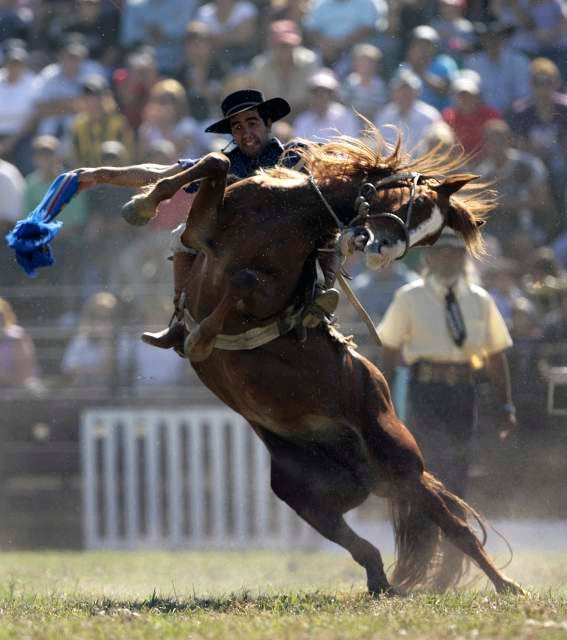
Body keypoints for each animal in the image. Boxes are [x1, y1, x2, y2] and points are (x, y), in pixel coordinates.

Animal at [124, 130, 524, 596]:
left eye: (431, 236)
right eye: (421, 205)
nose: (382, 251)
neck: (287, 214)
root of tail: (366, 471)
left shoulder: (267, 294)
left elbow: (245, 280)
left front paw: (201, 337)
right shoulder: (202, 234)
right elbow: (213, 164)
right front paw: (142, 203)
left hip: (400, 460)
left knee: (453, 524)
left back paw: (505, 584)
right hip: (304, 491)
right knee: (362, 543)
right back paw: (382, 583)